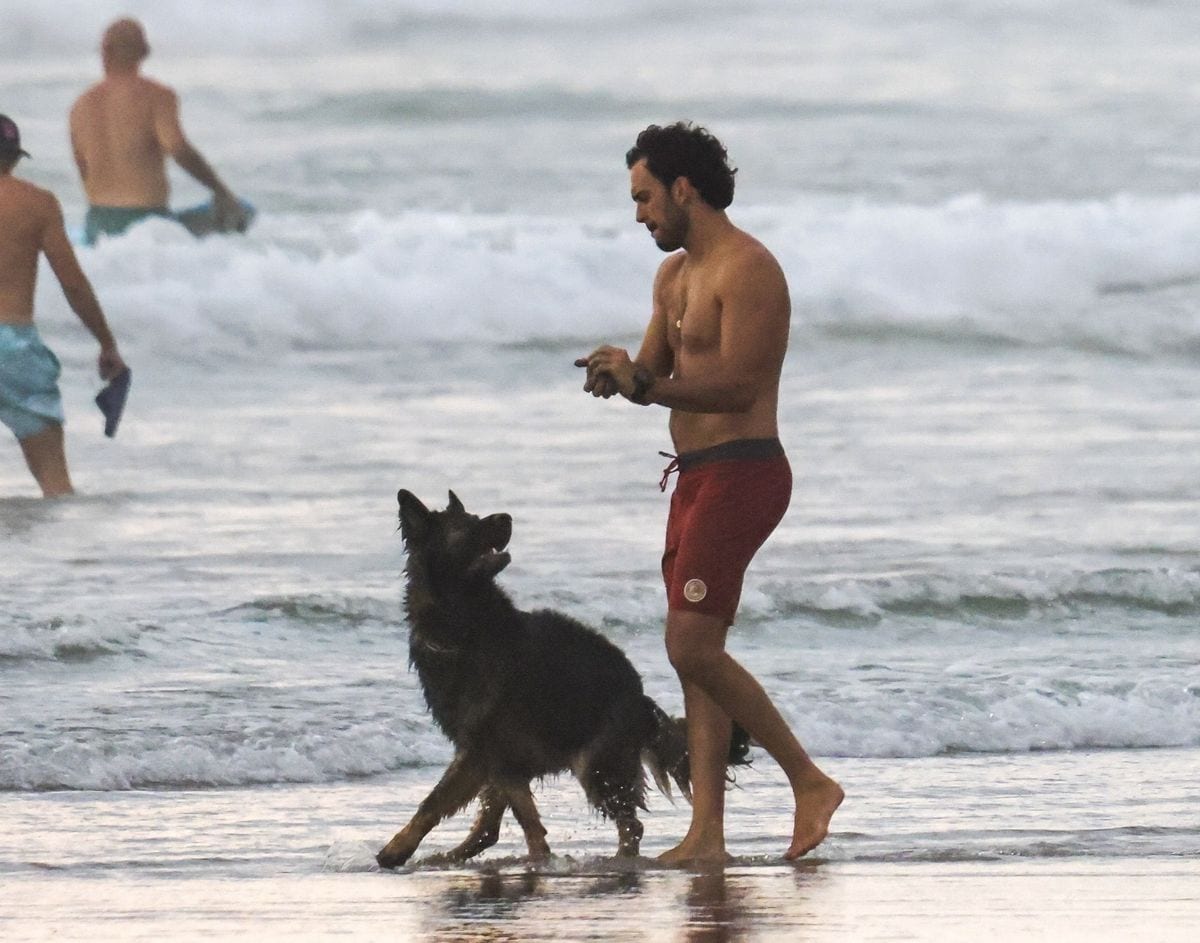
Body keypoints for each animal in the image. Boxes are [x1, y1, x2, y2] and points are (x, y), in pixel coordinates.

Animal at [376, 491, 748, 868]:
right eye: (465, 525)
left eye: (475, 518)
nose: (507, 518)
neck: (466, 624)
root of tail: (641, 697)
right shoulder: (490, 752)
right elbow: (501, 812)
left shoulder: (482, 750)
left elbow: (438, 802)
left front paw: (395, 849)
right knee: (491, 827)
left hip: (595, 766)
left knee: (631, 825)